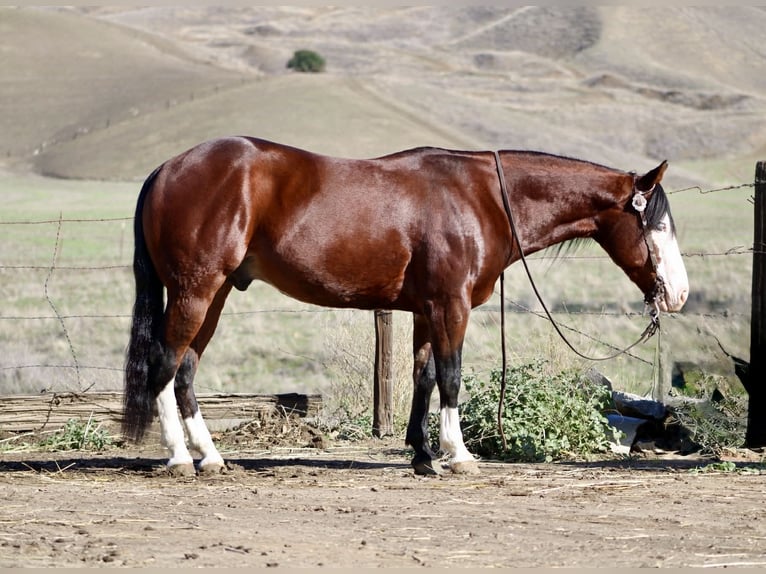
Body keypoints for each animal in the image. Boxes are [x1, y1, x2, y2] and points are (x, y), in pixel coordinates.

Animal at [122, 136, 689, 476]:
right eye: (657, 224)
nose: (678, 294)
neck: (482, 197)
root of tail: (167, 168)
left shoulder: (425, 309)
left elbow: (424, 376)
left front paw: (422, 454)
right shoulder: (451, 305)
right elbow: (452, 376)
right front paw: (458, 455)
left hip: (214, 294)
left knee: (186, 372)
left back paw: (211, 457)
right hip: (196, 291)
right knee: (165, 366)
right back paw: (178, 457)